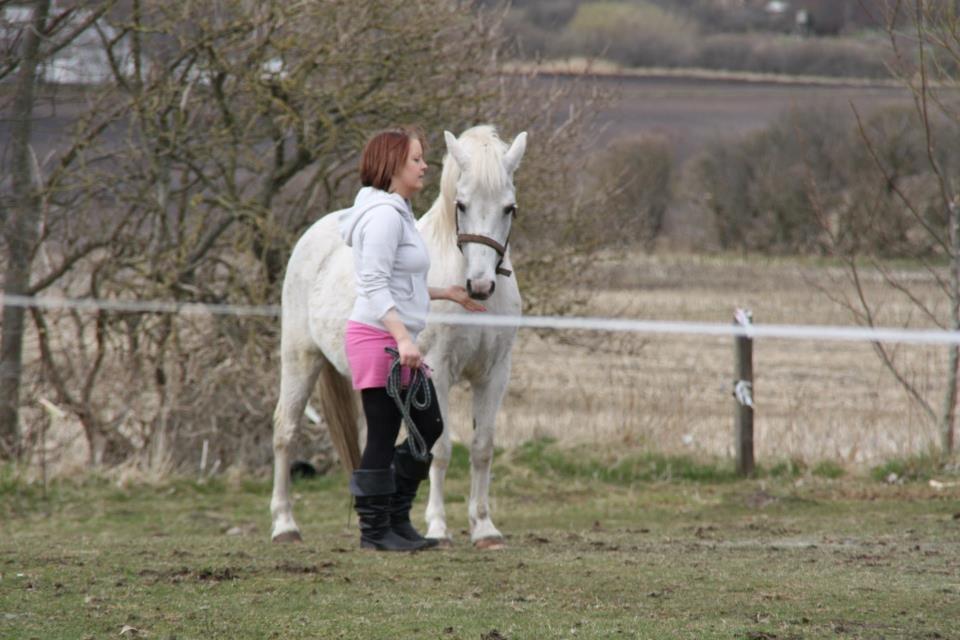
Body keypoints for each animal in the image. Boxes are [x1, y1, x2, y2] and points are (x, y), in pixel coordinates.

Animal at [268, 126, 524, 552]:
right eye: (462, 204)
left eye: (509, 209)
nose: (480, 286)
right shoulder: (437, 373)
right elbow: (440, 450)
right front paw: (438, 528)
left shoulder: (495, 374)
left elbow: (482, 448)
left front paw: (485, 529)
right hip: (300, 357)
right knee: (285, 432)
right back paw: (285, 525)